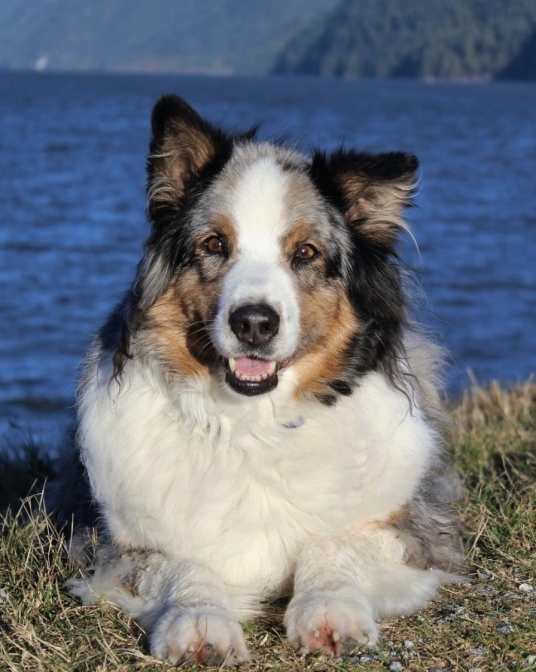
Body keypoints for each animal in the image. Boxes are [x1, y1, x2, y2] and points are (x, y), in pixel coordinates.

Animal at [55, 94, 464, 668]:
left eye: (306, 253)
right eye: (213, 244)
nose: (253, 322)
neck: (252, 422)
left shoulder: (414, 535)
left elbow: (331, 542)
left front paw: (330, 609)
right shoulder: (114, 546)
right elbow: (185, 563)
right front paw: (198, 622)